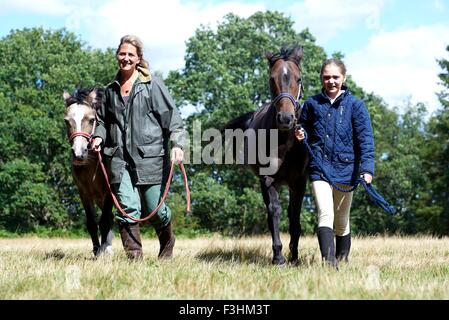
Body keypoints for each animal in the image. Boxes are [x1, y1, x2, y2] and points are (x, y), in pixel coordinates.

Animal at [63, 88, 114, 258]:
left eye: (92, 120)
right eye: (67, 121)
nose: (79, 154)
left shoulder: (109, 192)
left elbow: (104, 221)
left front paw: (103, 252)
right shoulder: (84, 193)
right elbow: (92, 223)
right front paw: (97, 250)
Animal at [224, 45, 308, 264]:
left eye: (298, 79)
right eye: (272, 79)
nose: (286, 119)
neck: (285, 141)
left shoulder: (299, 182)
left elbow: (294, 216)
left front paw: (294, 256)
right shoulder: (268, 179)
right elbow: (275, 212)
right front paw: (278, 256)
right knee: (271, 213)